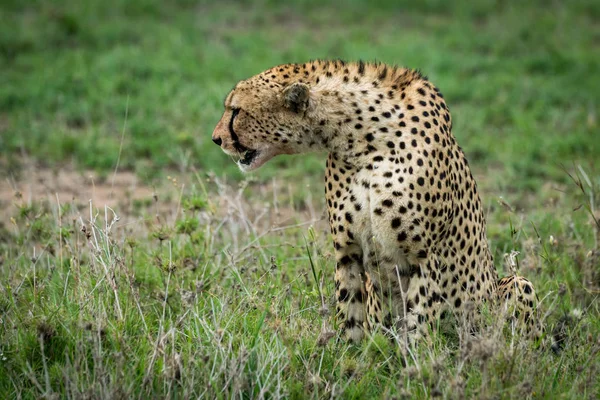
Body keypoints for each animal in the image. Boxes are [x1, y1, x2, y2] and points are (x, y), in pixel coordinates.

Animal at [212, 61, 544, 342]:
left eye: (236, 110)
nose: (215, 139)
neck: (361, 139)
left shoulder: (423, 257)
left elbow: (419, 328)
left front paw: (420, 370)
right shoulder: (348, 252)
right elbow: (350, 319)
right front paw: (349, 365)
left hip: (514, 286)